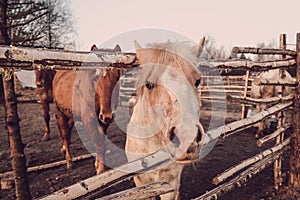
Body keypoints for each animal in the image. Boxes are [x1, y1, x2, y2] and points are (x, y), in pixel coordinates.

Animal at [52, 44, 120, 173]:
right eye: (95, 78)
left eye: (117, 78)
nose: (107, 115)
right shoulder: (89, 119)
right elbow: (99, 143)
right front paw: (100, 170)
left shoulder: (103, 121)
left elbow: (102, 142)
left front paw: (97, 165)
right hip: (59, 112)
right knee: (64, 133)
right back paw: (69, 161)